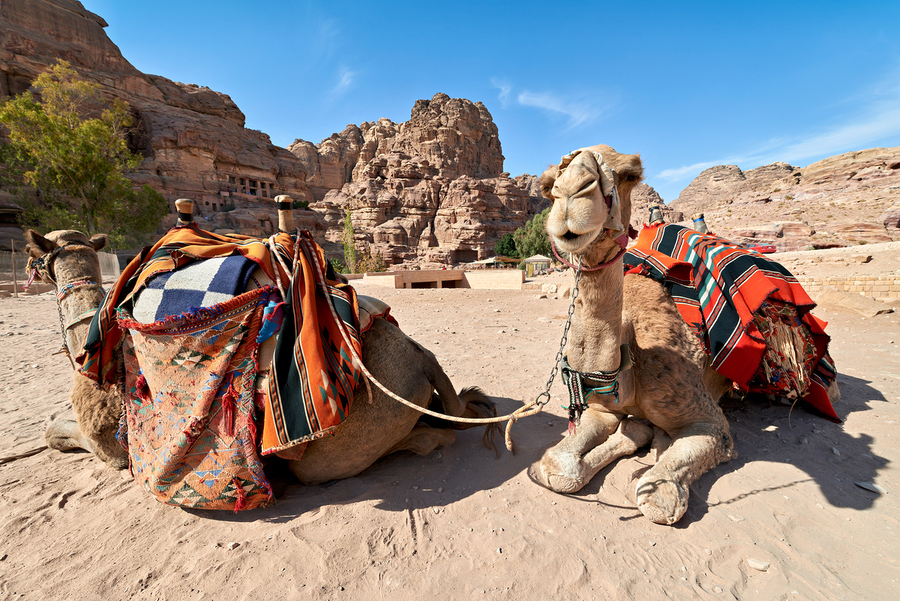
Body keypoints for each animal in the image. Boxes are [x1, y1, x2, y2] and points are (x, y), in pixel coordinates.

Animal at [25, 204, 496, 492]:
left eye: (33, 254)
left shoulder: (111, 447)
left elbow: (56, 432)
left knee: (417, 442)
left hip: (329, 453)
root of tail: (420, 360)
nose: (31, 268)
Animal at [529, 144, 837, 525]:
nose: (573, 194)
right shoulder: (602, 410)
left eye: (630, 173)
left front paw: (655, 449)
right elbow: (557, 468)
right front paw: (639, 432)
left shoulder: (709, 421)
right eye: (548, 185)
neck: (630, 361)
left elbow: (658, 497)